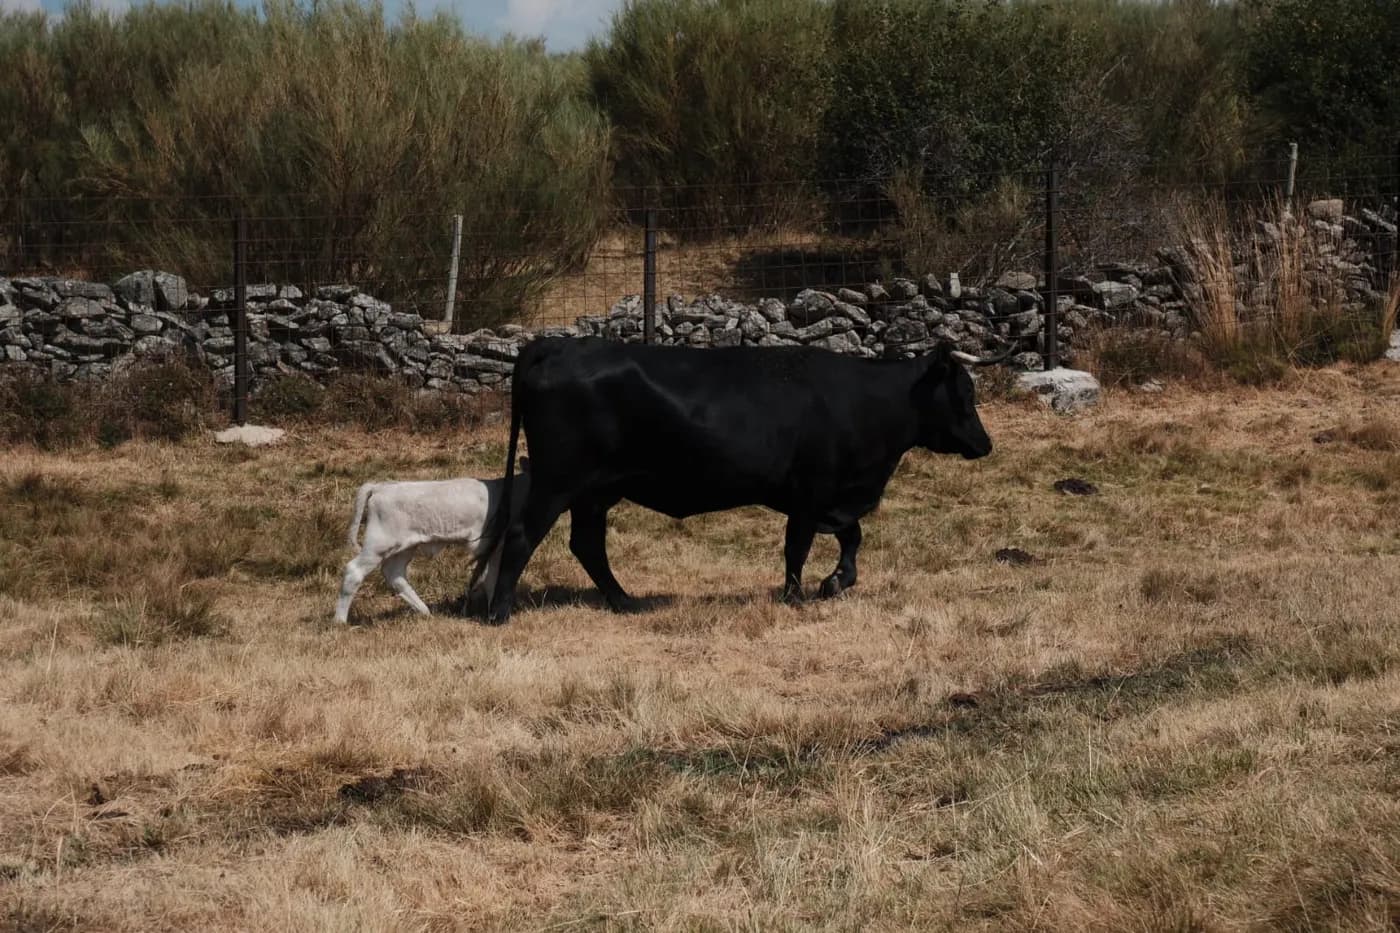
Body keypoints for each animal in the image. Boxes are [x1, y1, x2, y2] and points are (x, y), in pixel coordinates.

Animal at [336, 460, 529, 623]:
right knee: (354, 571)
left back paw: (425, 611)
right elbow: (492, 579)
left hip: (405, 547)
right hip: (379, 543)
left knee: (394, 573)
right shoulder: (495, 545)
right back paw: (340, 622)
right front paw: (493, 614)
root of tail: (380, 487)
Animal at [483, 337, 1005, 624]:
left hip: (594, 492)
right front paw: (796, 595)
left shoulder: (827, 498)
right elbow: (797, 547)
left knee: (588, 545)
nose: (985, 443)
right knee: (523, 534)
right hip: (558, 481)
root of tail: (559, 344)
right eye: (963, 392)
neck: (865, 401)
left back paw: (625, 601)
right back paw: (500, 611)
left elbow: (851, 536)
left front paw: (836, 581)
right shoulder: (812, 492)